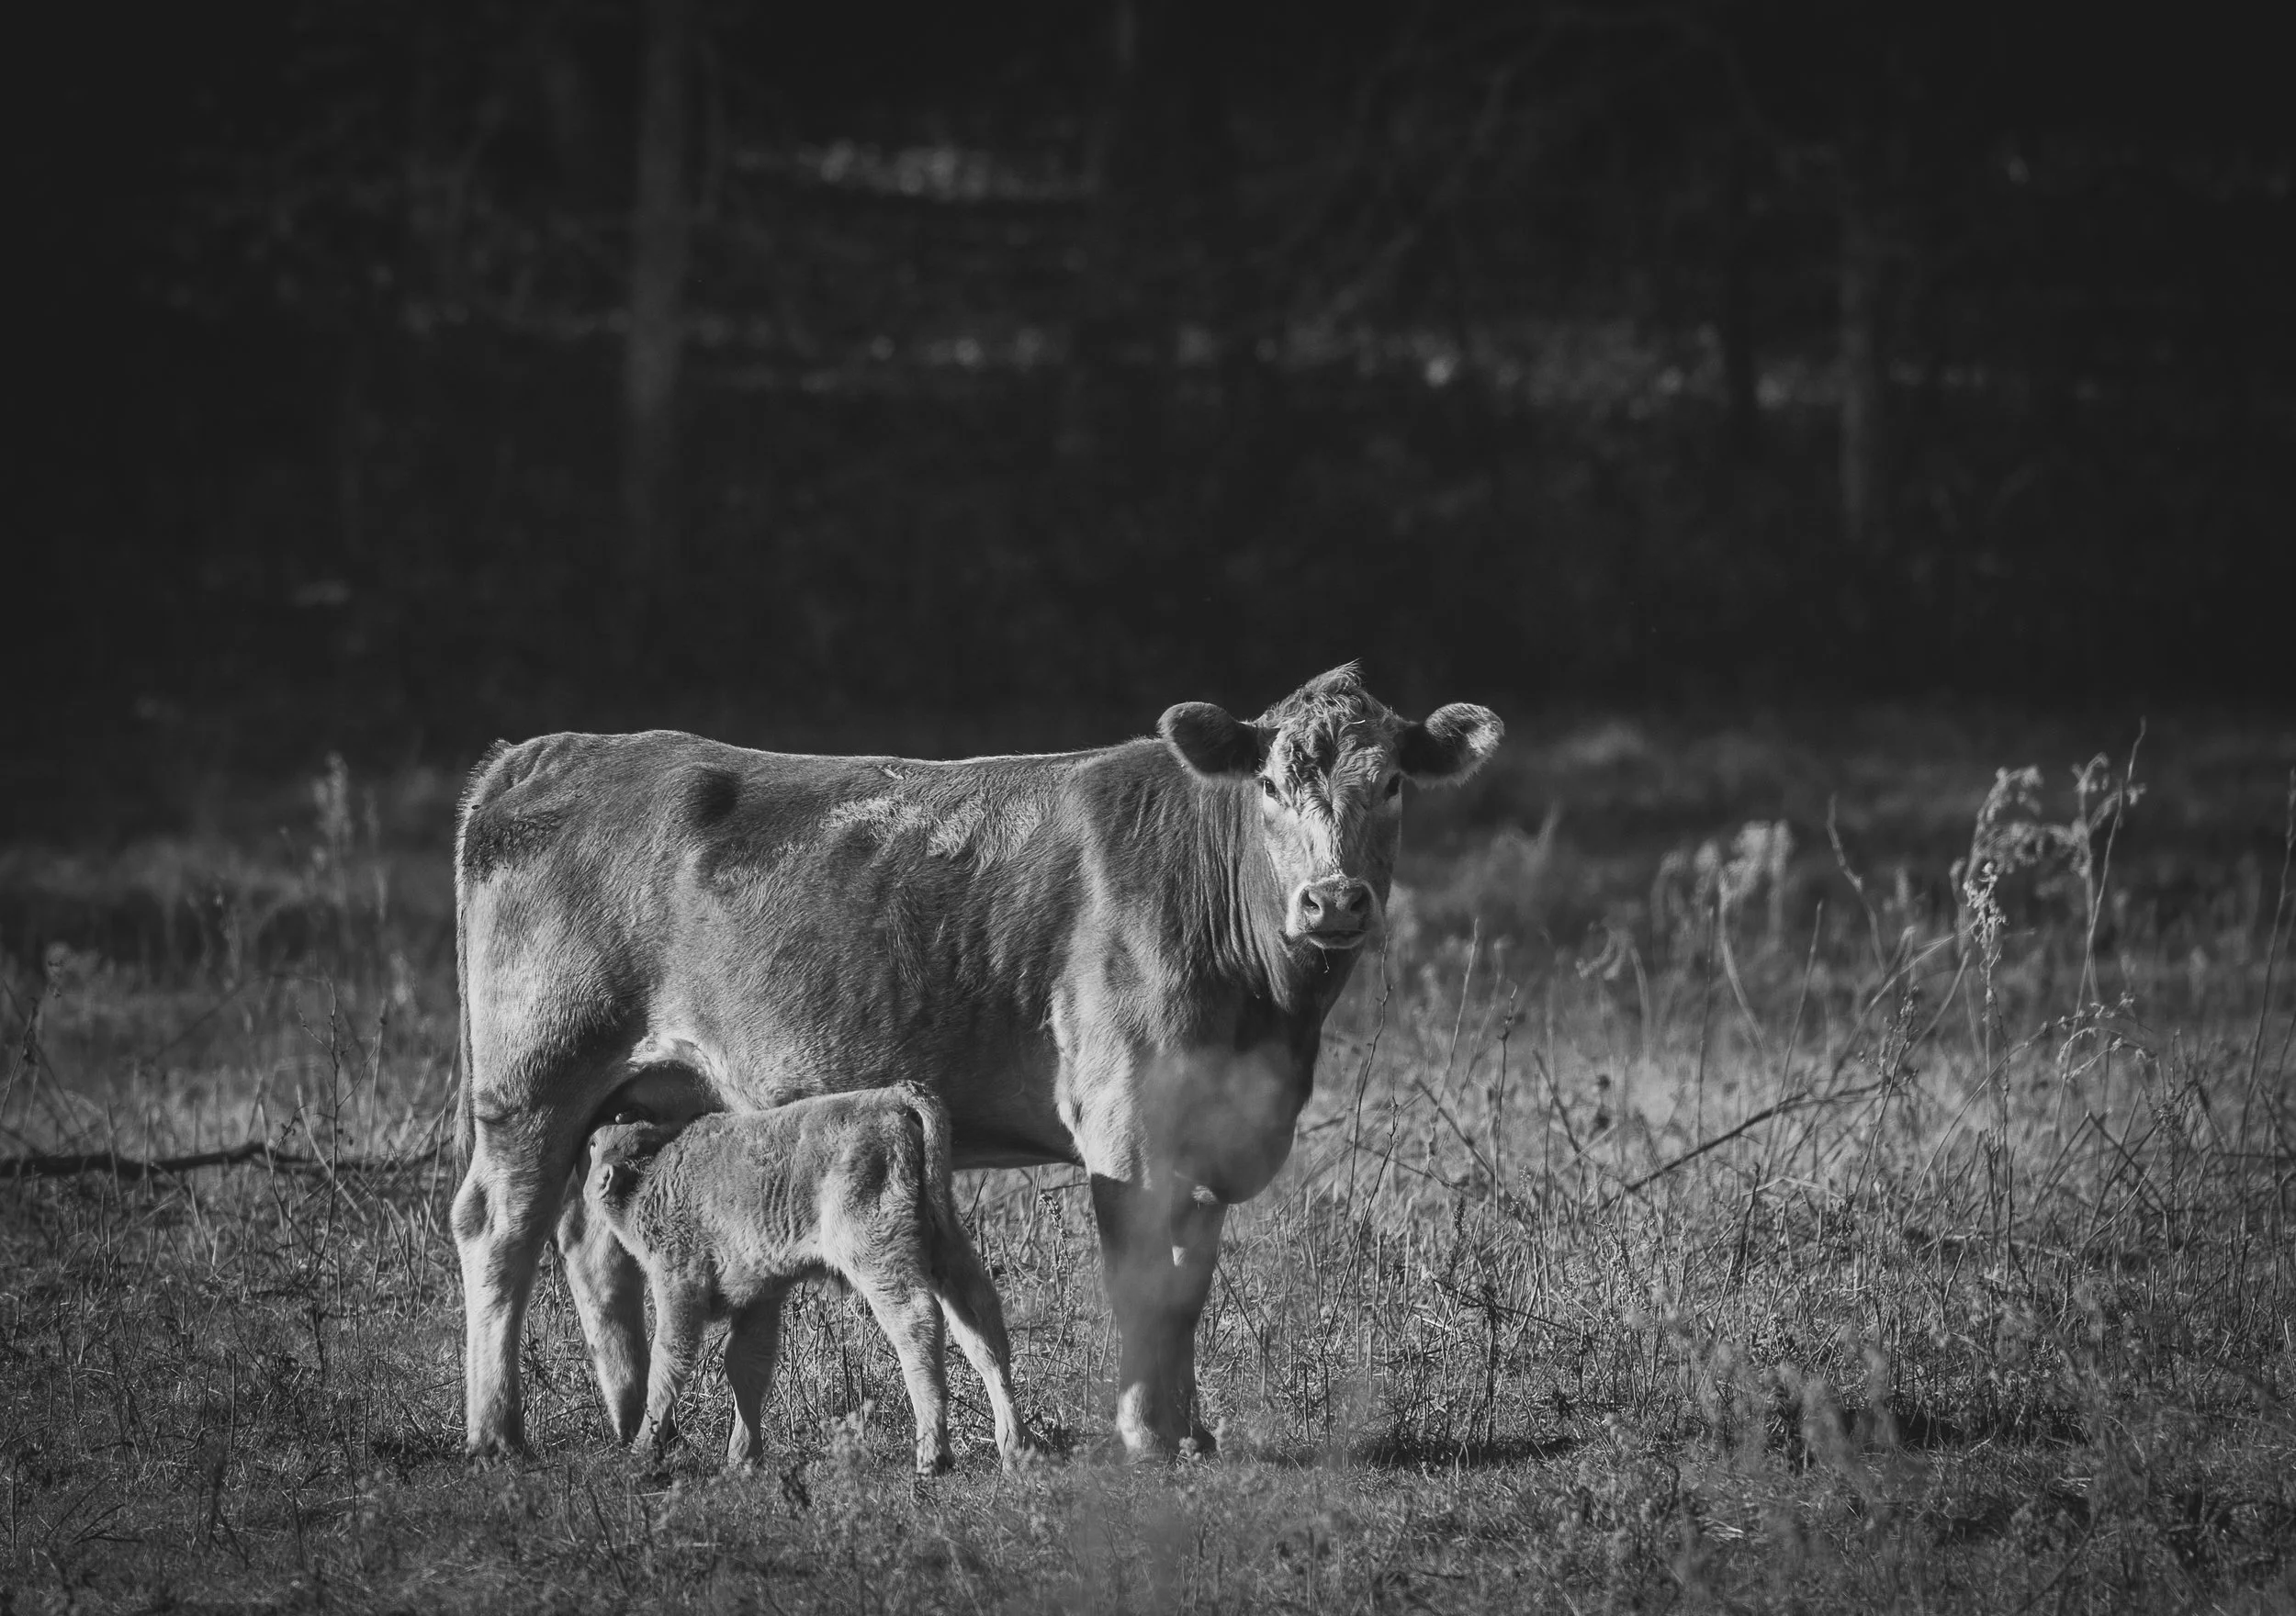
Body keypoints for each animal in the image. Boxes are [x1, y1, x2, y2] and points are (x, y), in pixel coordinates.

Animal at [581, 1084, 1033, 1474]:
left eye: (593, 1145)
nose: (595, 1181)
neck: (654, 1169)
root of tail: (892, 1096)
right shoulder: (761, 1295)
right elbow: (745, 1364)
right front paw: (742, 1459)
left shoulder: (679, 1283)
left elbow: (667, 1362)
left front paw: (642, 1452)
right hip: (945, 1243)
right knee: (982, 1328)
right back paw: (1016, 1450)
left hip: (875, 1252)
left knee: (917, 1322)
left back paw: (932, 1456)